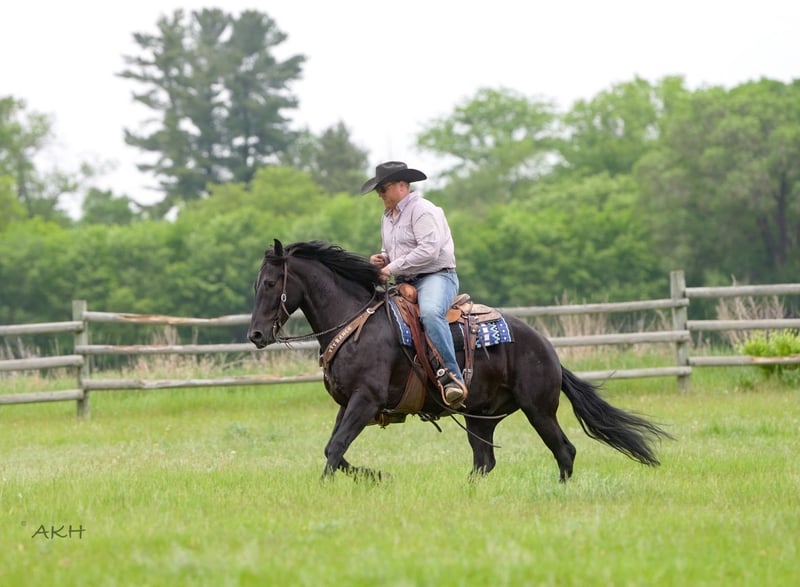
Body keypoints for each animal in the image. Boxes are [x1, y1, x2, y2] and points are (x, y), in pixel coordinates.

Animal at [247, 239, 671, 482]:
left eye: (269, 283)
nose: (255, 335)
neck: (355, 322)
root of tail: (546, 347)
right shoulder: (349, 403)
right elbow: (335, 449)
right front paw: (377, 475)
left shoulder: (365, 400)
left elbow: (335, 449)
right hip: (481, 416)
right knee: (484, 461)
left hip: (538, 409)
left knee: (563, 450)